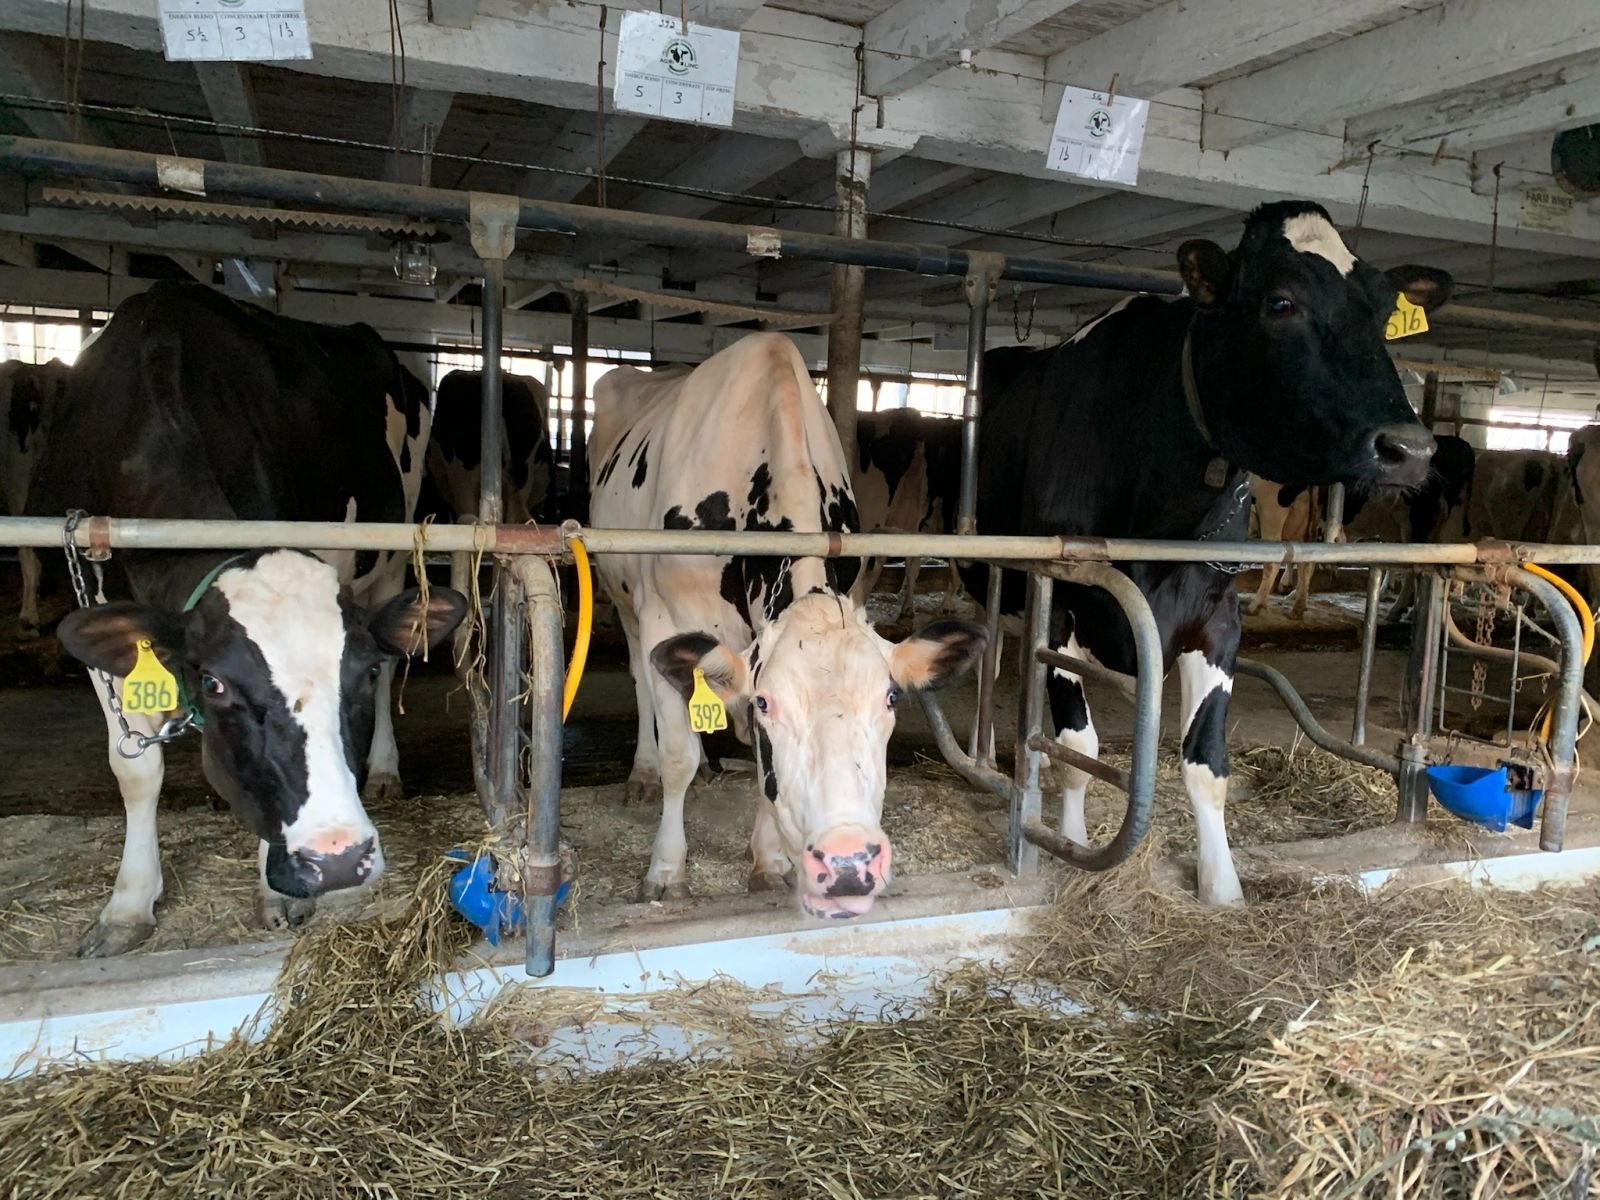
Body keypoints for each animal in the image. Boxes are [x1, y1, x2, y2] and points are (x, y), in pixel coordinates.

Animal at [26, 282, 466, 956]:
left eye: (359, 674)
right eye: (214, 683)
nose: (338, 858)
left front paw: (272, 893)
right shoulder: (88, 586)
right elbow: (134, 769)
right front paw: (127, 906)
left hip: (391, 547)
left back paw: (386, 770)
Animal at [962, 201, 1447, 906]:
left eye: (1386, 312)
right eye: (1280, 301)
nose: (1410, 448)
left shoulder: (1217, 618)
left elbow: (1205, 764)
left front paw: (1223, 887)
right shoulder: (1061, 601)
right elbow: (1078, 749)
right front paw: (1072, 844)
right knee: (994, 657)